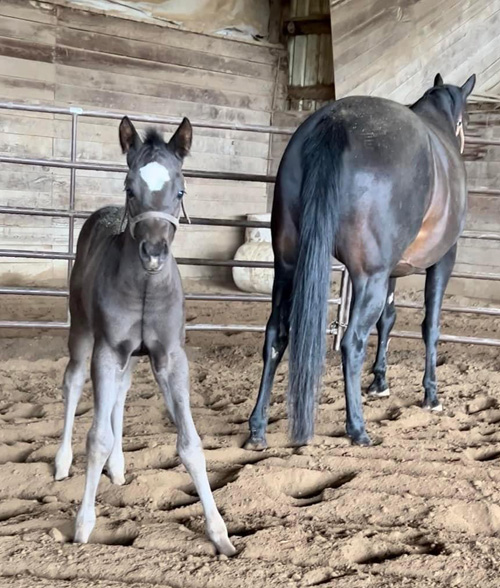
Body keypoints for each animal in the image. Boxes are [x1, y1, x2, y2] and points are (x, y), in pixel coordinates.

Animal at [54, 116, 236, 556]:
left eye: (181, 189)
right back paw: (62, 462)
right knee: (73, 382)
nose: (153, 253)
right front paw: (83, 525)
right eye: (129, 188)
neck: (145, 288)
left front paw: (220, 533)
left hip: (129, 357)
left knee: (120, 394)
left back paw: (119, 468)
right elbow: (96, 438)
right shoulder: (106, 351)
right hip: (82, 332)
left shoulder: (169, 357)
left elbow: (190, 444)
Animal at [246, 74, 476, 450]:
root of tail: (336, 122)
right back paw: (357, 428)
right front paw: (431, 395)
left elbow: (388, 320)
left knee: (276, 334)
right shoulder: (443, 260)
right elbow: (430, 326)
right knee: (351, 342)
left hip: (287, 267)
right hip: (369, 277)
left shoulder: (394, 270)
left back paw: (257, 428)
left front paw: (380, 382)